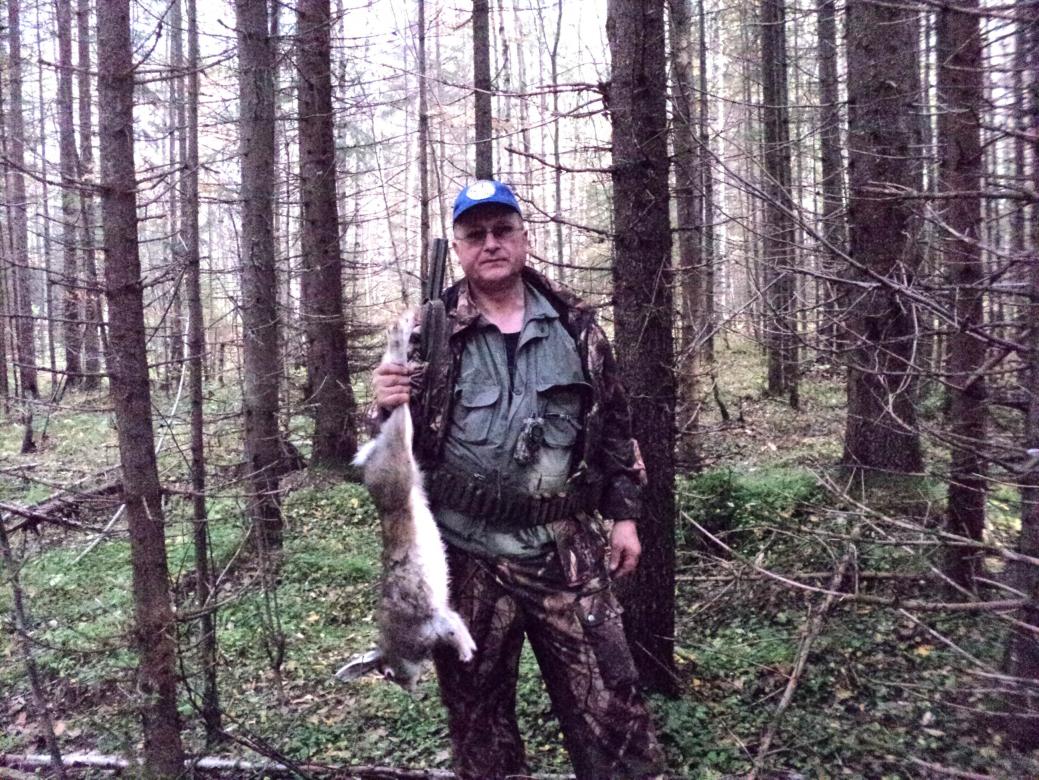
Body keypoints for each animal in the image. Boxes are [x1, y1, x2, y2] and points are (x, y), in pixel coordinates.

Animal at [335, 311, 475, 691]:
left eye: (388, 673)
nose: (411, 690)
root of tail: (374, 454)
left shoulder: (432, 620)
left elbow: (453, 627)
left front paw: (467, 652)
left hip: (399, 451)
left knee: (398, 407)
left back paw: (399, 331)